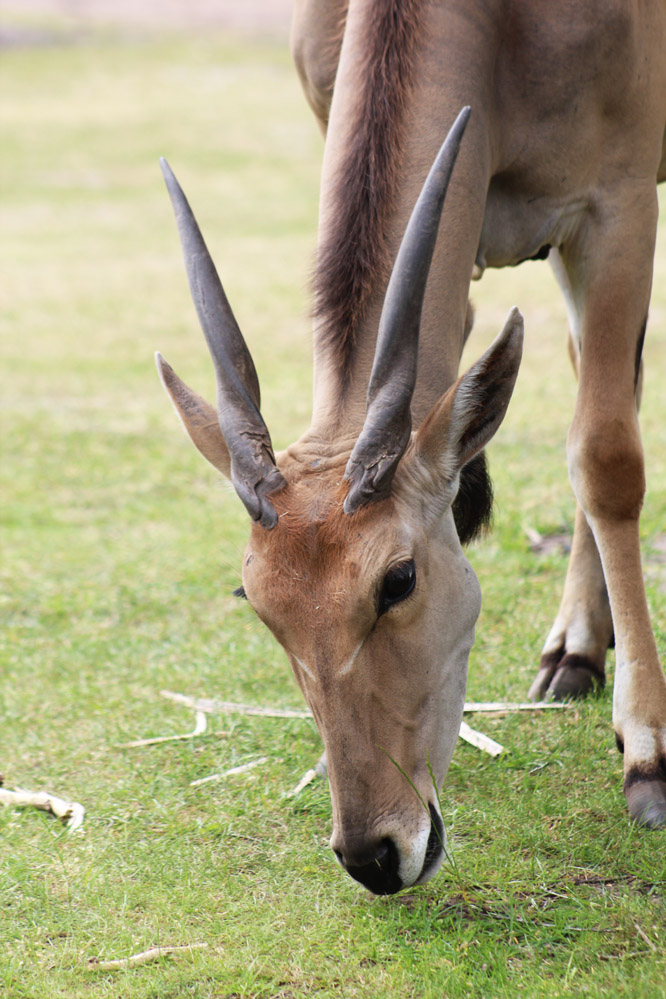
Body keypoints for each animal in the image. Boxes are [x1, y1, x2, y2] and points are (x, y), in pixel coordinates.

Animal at [157, 0, 664, 892]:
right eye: (255, 598)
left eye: (398, 580)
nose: (375, 855)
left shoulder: (619, 206)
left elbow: (606, 455)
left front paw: (646, 755)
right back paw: (574, 650)